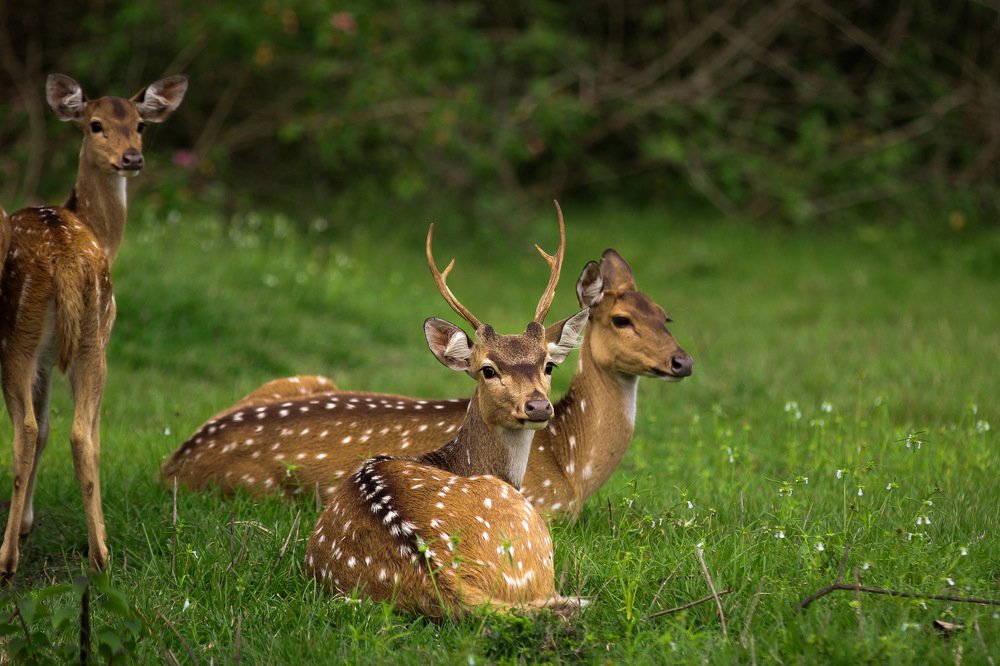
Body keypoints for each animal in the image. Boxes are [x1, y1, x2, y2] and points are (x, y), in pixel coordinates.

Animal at [0, 73, 187, 578]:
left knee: (44, 430)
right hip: (69, 334)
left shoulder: (48, 354)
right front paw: (26, 524)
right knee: (70, 432)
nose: (132, 158)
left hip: (41, 336)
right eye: (95, 124)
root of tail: (65, 256)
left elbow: (47, 426)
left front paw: (27, 523)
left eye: (141, 124)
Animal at [163, 243, 692, 517]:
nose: (682, 361)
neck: (573, 466)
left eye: (666, 315)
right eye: (622, 319)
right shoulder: (542, 503)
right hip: (256, 488)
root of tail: (171, 464)